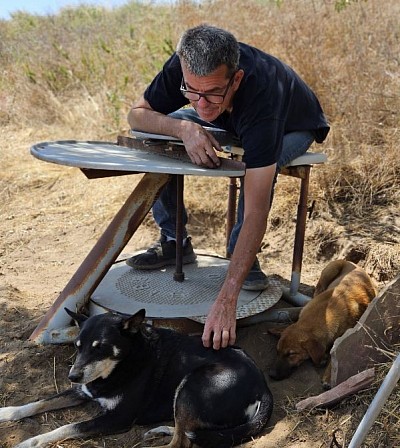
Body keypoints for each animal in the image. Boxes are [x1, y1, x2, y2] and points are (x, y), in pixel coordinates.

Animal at [0, 310, 272, 446]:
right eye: (78, 346)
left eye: (100, 347)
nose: (73, 375)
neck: (124, 364)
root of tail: (263, 387)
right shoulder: (83, 390)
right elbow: (38, 403)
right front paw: (6, 412)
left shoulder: (116, 418)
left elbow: (68, 427)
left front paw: (32, 441)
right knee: (187, 432)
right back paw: (163, 430)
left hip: (191, 385)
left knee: (181, 443)